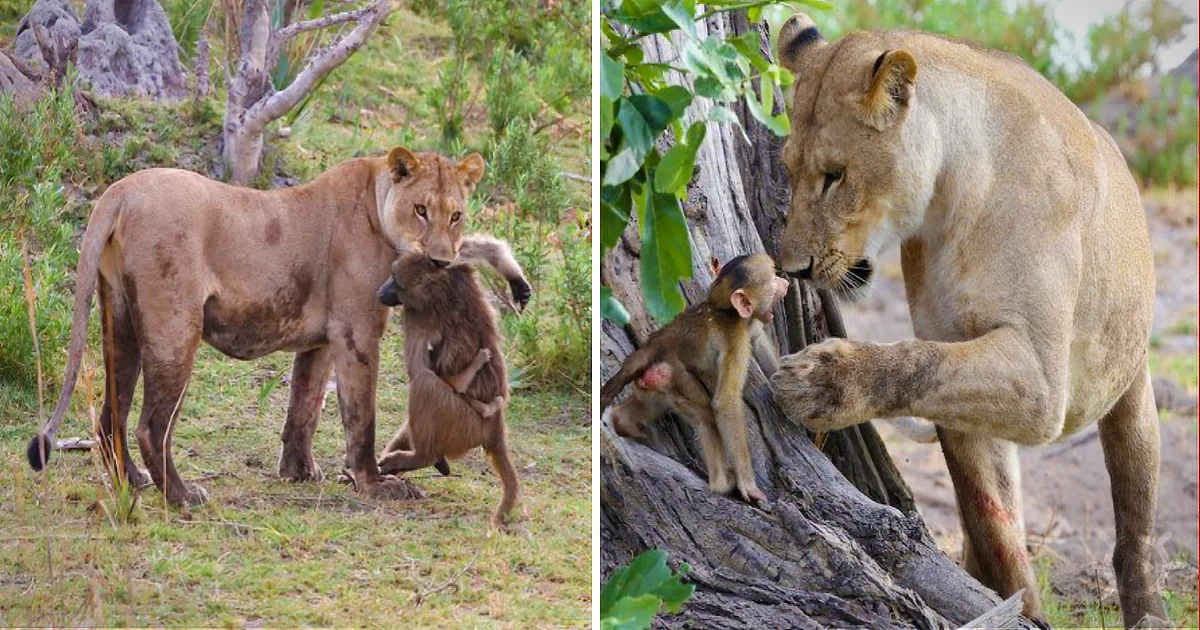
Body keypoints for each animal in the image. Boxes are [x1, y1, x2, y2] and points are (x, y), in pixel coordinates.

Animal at [374, 250, 519, 526]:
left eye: (396, 282)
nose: (379, 292)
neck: (440, 284)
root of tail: (495, 426)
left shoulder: (417, 316)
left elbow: (419, 368)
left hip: (464, 424)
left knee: (424, 382)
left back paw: (423, 457)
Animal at [599, 253, 789, 504]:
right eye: (772, 278)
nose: (785, 283)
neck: (726, 310)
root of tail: (654, 345)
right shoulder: (734, 337)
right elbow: (726, 402)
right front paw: (748, 485)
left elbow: (758, 340)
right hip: (673, 375)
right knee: (705, 414)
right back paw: (720, 484)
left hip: (651, 383)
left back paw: (622, 422)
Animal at [768, 15, 1166, 628]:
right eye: (788, 170)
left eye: (835, 176)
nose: (792, 268)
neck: (950, 203)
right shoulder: (959, 366)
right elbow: (990, 519)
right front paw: (1013, 606)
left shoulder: (1041, 382)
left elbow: (916, 362)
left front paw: (821, 382)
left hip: (1132, 379)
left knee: (1136, 517)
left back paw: (1148, 608)